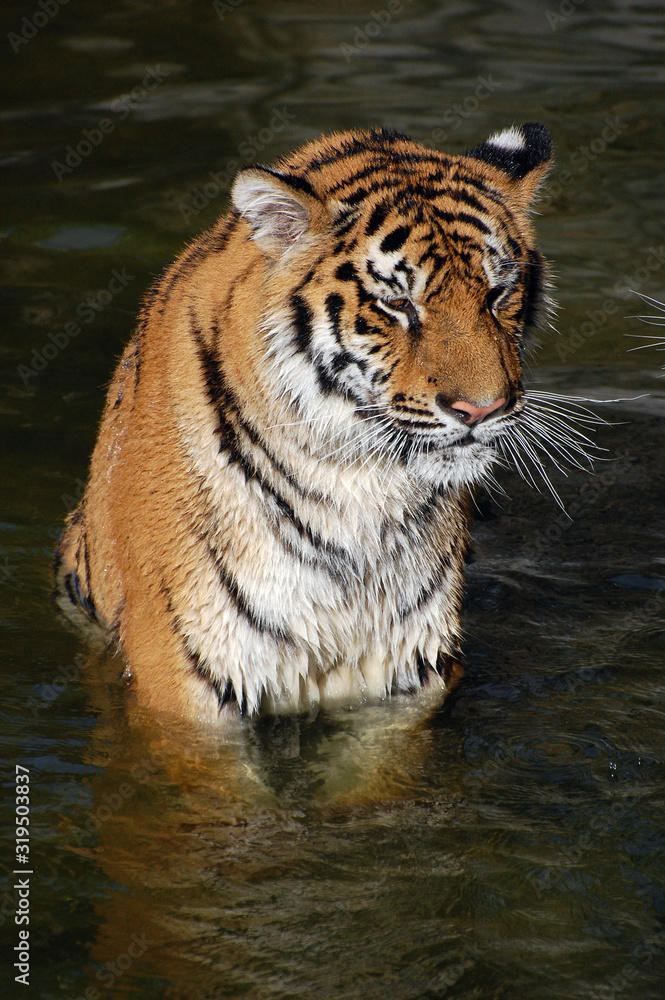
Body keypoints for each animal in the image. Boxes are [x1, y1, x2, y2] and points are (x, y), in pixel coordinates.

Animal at [55, 122, 564, 724]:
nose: (482, 409)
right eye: (398, 303)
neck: (357, 486)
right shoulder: (188, 682)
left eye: (496, 293)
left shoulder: (408, 670)